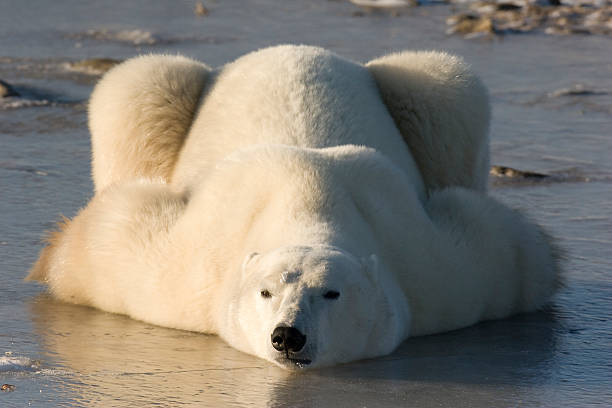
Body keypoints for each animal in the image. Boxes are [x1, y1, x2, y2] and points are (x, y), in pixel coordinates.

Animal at [27, 45, 560, 370]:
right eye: (265, 292)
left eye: (332, 293)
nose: (288, 336)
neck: (308, 201)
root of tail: (289, 49)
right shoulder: (172, 272)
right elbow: (99, 240)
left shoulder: (447, 275)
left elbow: (518, 254)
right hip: (157, 100)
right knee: (139, 87)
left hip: (426, 99)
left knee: (446, 93)